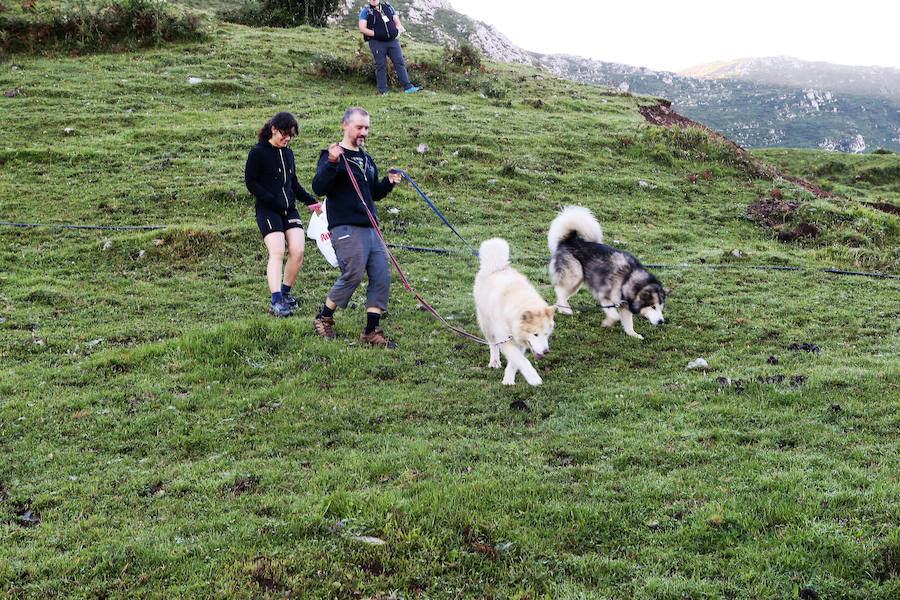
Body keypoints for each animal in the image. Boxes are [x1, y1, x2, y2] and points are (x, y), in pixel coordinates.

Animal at [472, 238, 556, 384]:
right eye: (535, 334)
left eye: (546, 334)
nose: (546, 351)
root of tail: (496, 267)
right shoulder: (506, 340)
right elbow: (522, 361)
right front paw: (533, 378)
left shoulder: (520, 342)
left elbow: (514, 363)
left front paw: (508, 380)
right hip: (487, 325)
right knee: (493, 345)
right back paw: (494, 361)